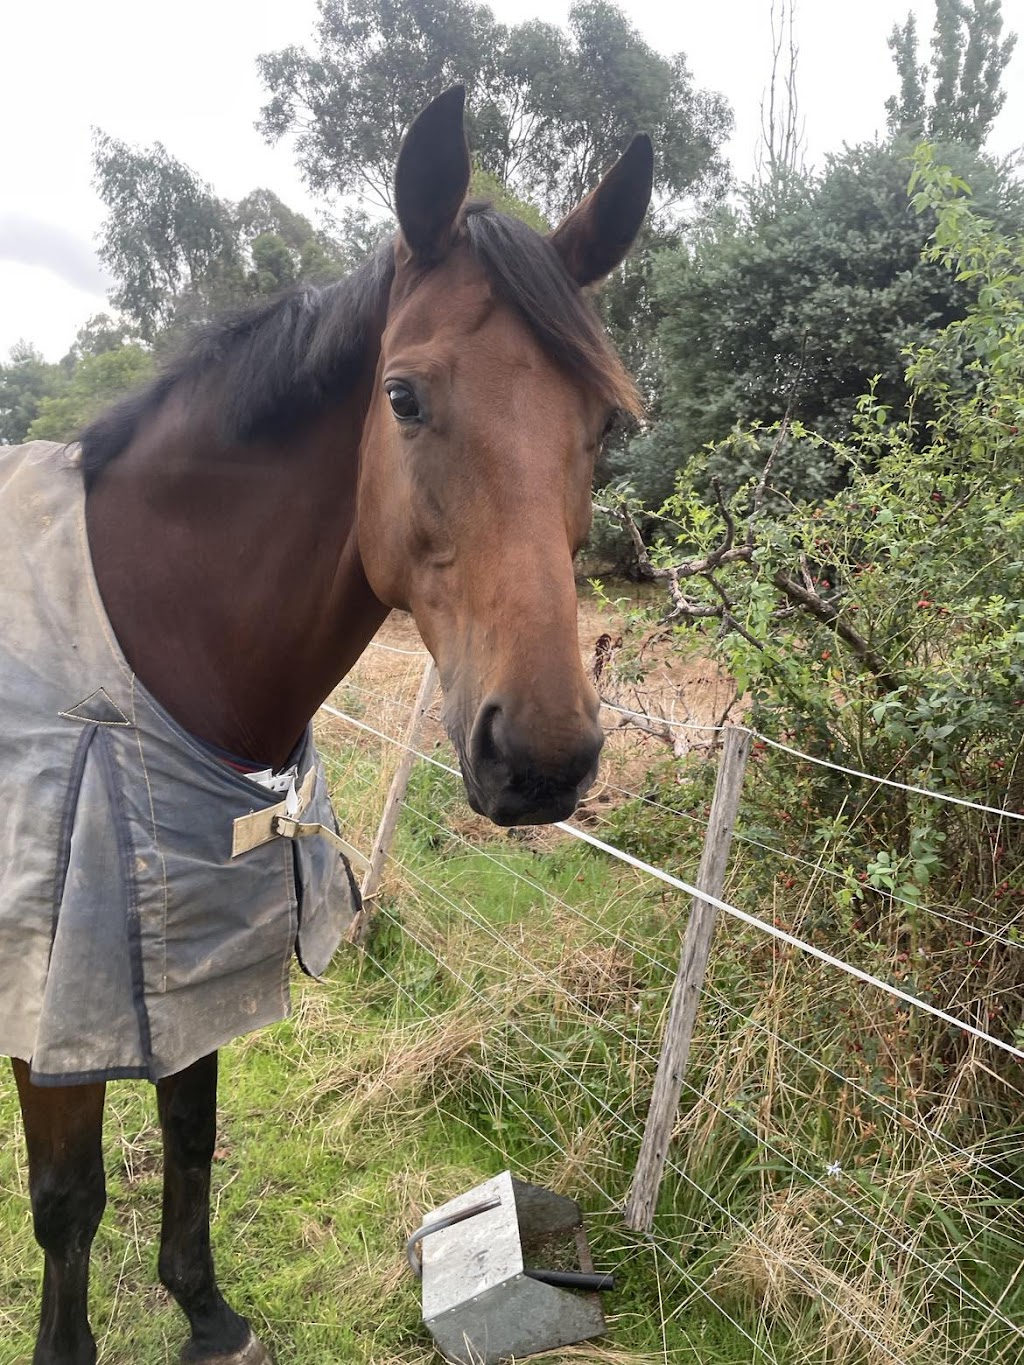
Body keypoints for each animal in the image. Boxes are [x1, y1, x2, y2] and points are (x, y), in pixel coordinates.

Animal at [1, 87, 652, 1364]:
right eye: (401, 396)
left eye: (605, 426)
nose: (542, 758)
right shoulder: (51, 993)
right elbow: (67, 1198)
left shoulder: (194, 958)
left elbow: (192, 1133)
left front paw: (208, 1313)